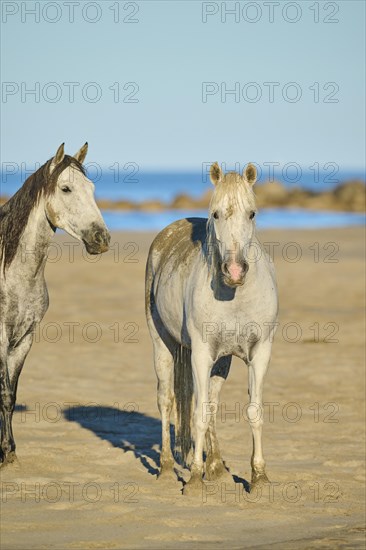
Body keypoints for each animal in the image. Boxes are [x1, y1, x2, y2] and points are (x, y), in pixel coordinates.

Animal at [0, 142, 110, 466]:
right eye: (65, 189)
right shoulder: (1, 337)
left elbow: (11, 395)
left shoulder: (24, 339)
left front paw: (9, 451)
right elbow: (3, 392)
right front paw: (4, 452)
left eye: (91, 188)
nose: (102, 238)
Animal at [146, 163, 278, 496]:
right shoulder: (201, 354)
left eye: (252, 214)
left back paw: (216, 468)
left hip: (222, 360)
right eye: (215, 214)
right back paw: (166, 470)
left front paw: (259, 479)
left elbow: (253, 412)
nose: (234, 271)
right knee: (166, 399)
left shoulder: (260, 353)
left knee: (213, 404)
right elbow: (198, 414)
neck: (235, 296)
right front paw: (194, 480)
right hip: (162, 344)